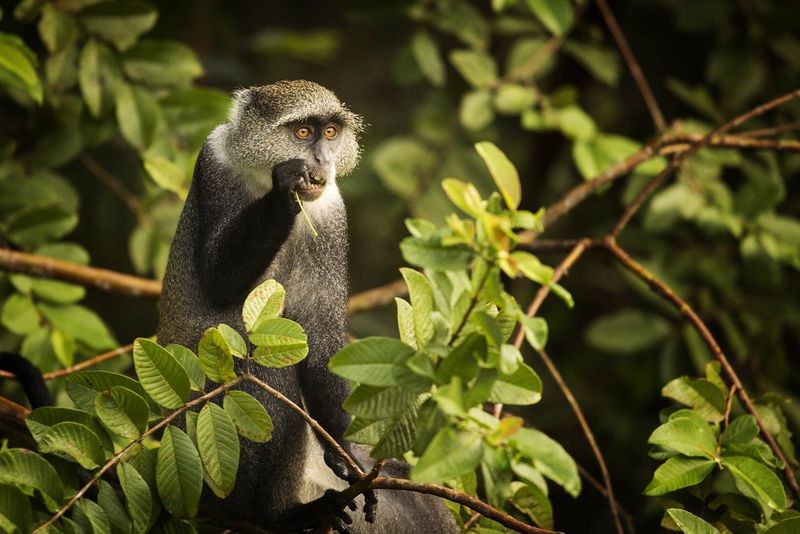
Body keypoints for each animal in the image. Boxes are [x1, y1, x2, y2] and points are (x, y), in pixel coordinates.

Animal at [157, 81, 458, 533]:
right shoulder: (213, 162)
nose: (321, 161)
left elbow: (319, 332)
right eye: (302, 133)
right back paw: (278, 515)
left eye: (330, 133)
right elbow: (218, 280)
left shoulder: (332, 211)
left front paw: (346, 452)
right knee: (262, 368)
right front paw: (286, 188)